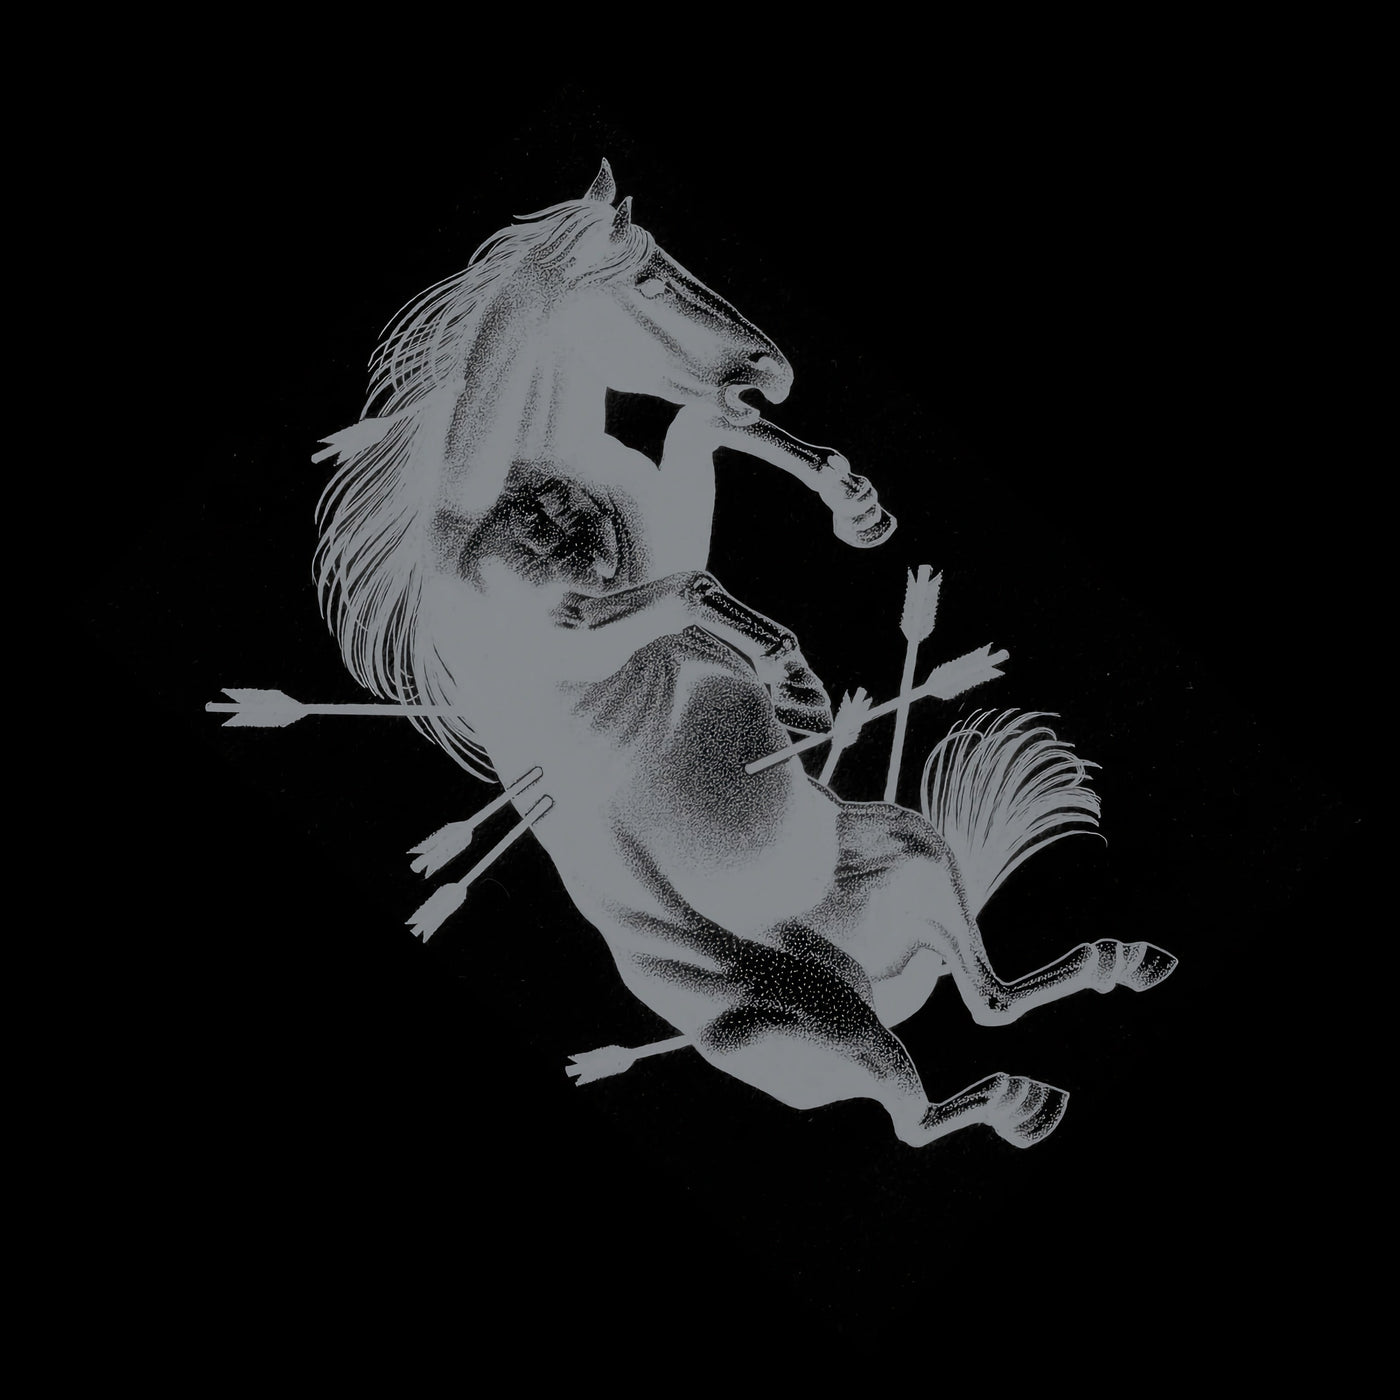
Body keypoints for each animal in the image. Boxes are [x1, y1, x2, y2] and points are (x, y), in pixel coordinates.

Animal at [311, 160, 1177, 1149]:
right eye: (650, 284)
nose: (776, 369)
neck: (510, 486)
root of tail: (861, 972)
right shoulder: (565, 627)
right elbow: (690, 587)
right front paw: (796, 690)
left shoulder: (660, 534)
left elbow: (700, 442)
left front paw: (855, 506)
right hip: (814, 1023)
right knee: (917, 1116)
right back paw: (1026, 1100)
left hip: (912, 853)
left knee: (987, 998)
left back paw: (1121, 963)